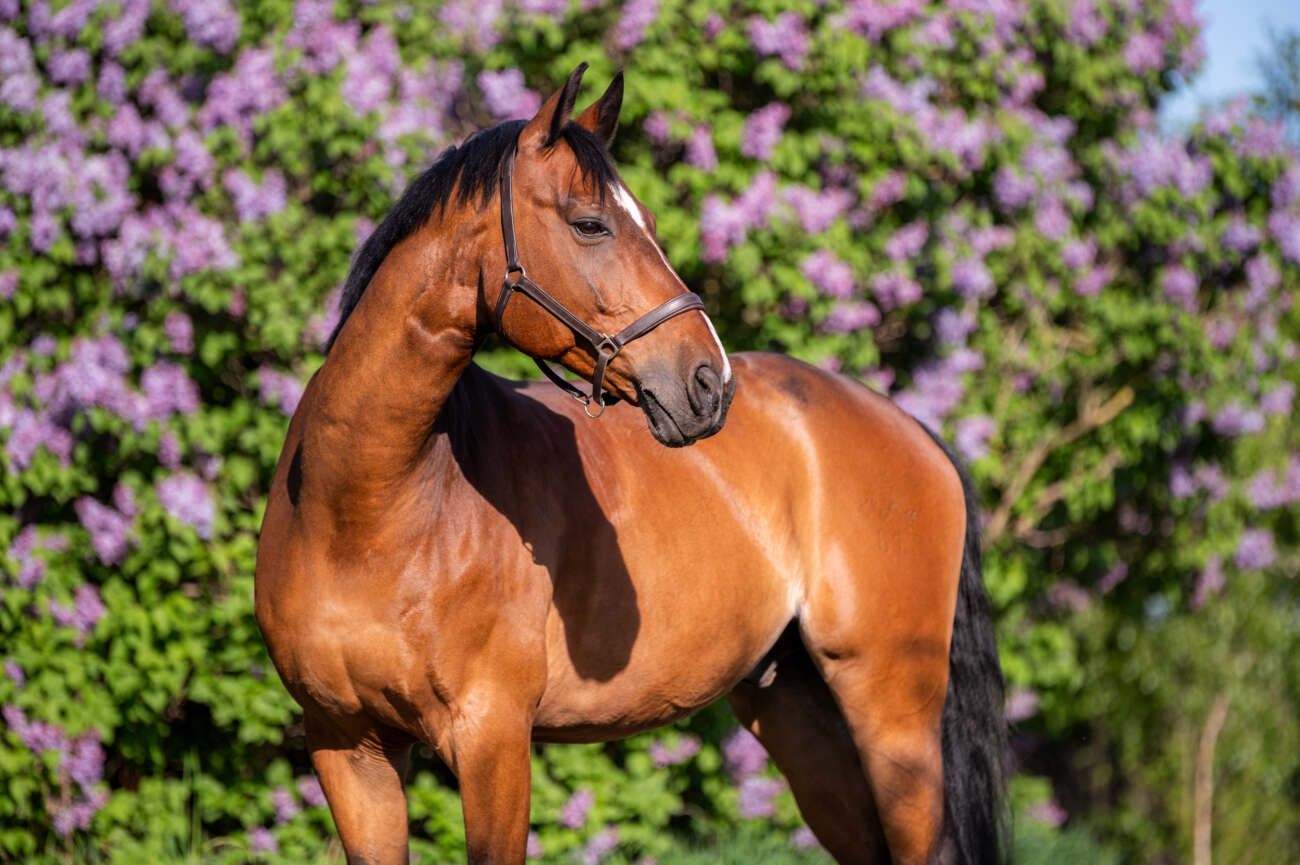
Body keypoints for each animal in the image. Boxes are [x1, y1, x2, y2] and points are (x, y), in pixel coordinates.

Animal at [254, 64, 1009, 865]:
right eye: (591, 223)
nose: (710, 383)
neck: (363, 512)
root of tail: (911, 429)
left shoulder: (492, 741)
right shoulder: (349, 749)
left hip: (893, 719)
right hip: (799, 715)